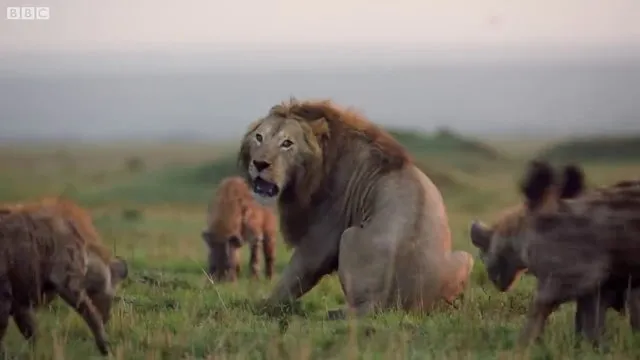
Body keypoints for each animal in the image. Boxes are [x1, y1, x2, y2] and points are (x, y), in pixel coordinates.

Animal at [0, 198, 129, 356]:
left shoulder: (20, 297)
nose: (107, 317)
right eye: (112, 296)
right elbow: (90, 313)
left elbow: (31, 332)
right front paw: (105, 348)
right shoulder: (64, 280)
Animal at [236, 98, 476, 318]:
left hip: (348, 236)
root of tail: (384, 302)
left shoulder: (324, 234)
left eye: (287, 143)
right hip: (465, 257)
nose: (259, 164)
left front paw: (259, 305)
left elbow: (295, 274)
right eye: (259, 137)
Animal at [468, 160, 640, 346]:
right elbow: (590, 316)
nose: (496, 282)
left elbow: (541, 306)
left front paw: (521, 345)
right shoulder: (602, 282)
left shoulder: (575, 272)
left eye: (491, 246)